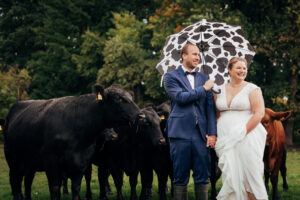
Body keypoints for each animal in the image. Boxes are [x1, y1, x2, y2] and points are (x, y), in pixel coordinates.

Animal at [2, 84, 141, 200]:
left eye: (131, 97)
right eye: (118, 99)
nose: (140, 115)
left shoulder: (81, 164)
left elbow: (76, 189)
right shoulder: (51, 163)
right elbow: (55, 189)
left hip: (29, 164)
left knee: (26, 182)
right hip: (13, 161)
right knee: (15, 183)